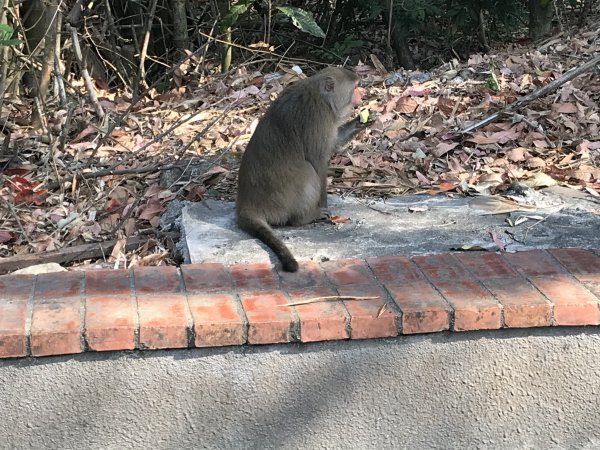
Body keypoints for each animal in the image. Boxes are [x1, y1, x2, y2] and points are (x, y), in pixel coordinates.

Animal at [237, 66, 364, 270]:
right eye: (355, 87)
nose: (361, 95)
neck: (322, 97)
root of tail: (246, 204)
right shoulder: (318, 118)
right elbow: (318, 161)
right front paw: (323, 205)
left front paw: (360, 123)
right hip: (280, 199)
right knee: (307, 171)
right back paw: (305, 218)